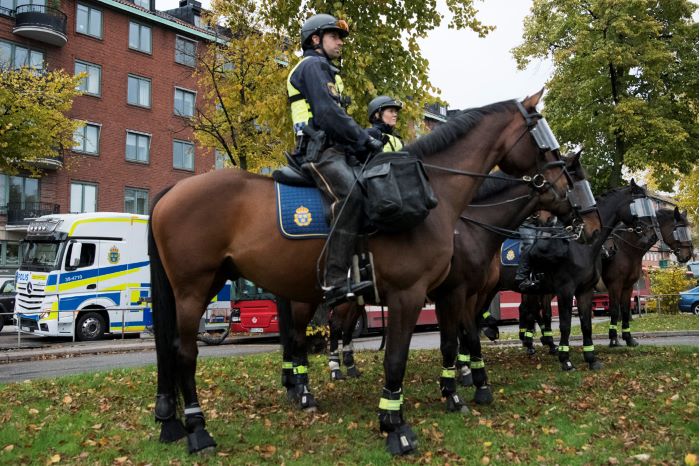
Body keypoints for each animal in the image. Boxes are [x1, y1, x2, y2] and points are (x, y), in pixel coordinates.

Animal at [149, 89, 584, 454]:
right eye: (541, 133)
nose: (570, 196)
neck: (440, 197)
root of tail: (171, 191)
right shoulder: (414, 294)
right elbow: (399, 358)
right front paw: (396, 425)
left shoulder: (448, 293)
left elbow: (451, 343)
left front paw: (455, 395)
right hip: (194, 288)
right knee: (185, 351)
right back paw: (200, 429)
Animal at [600, 207, 696, 346]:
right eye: (678, 230)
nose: (688, 255)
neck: (625, 249)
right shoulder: (615, 285)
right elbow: (614, 310)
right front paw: (613, 340)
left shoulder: (628, 286)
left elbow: (625, 310)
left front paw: (629, 339)